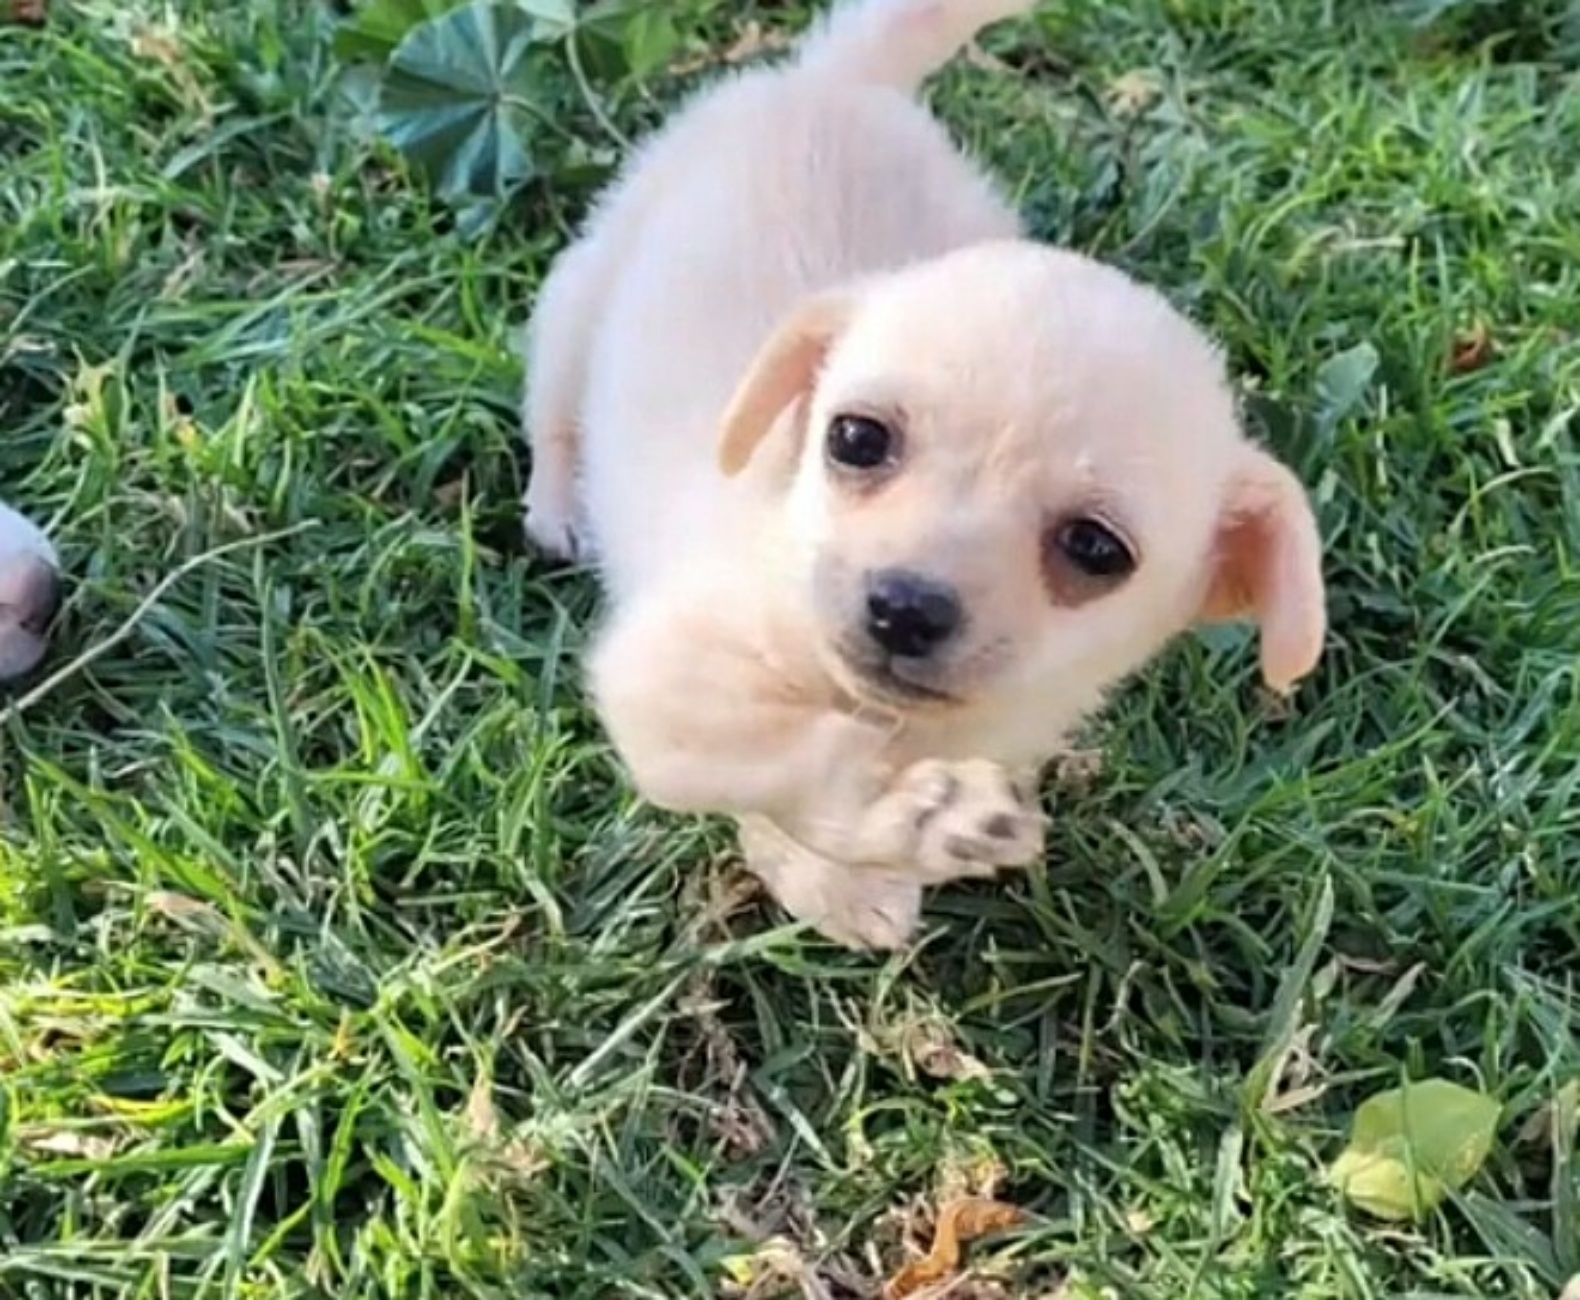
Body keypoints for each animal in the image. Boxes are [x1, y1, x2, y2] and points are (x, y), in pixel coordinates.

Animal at [524, 0, 1327, 947]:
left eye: (1096, 549)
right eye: (856, 439)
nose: (905, 607)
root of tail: (838, 82)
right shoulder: (664, 674)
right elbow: (787, 757)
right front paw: (891, 823)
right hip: (586, 286)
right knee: (555, 396)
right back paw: (558, 501)